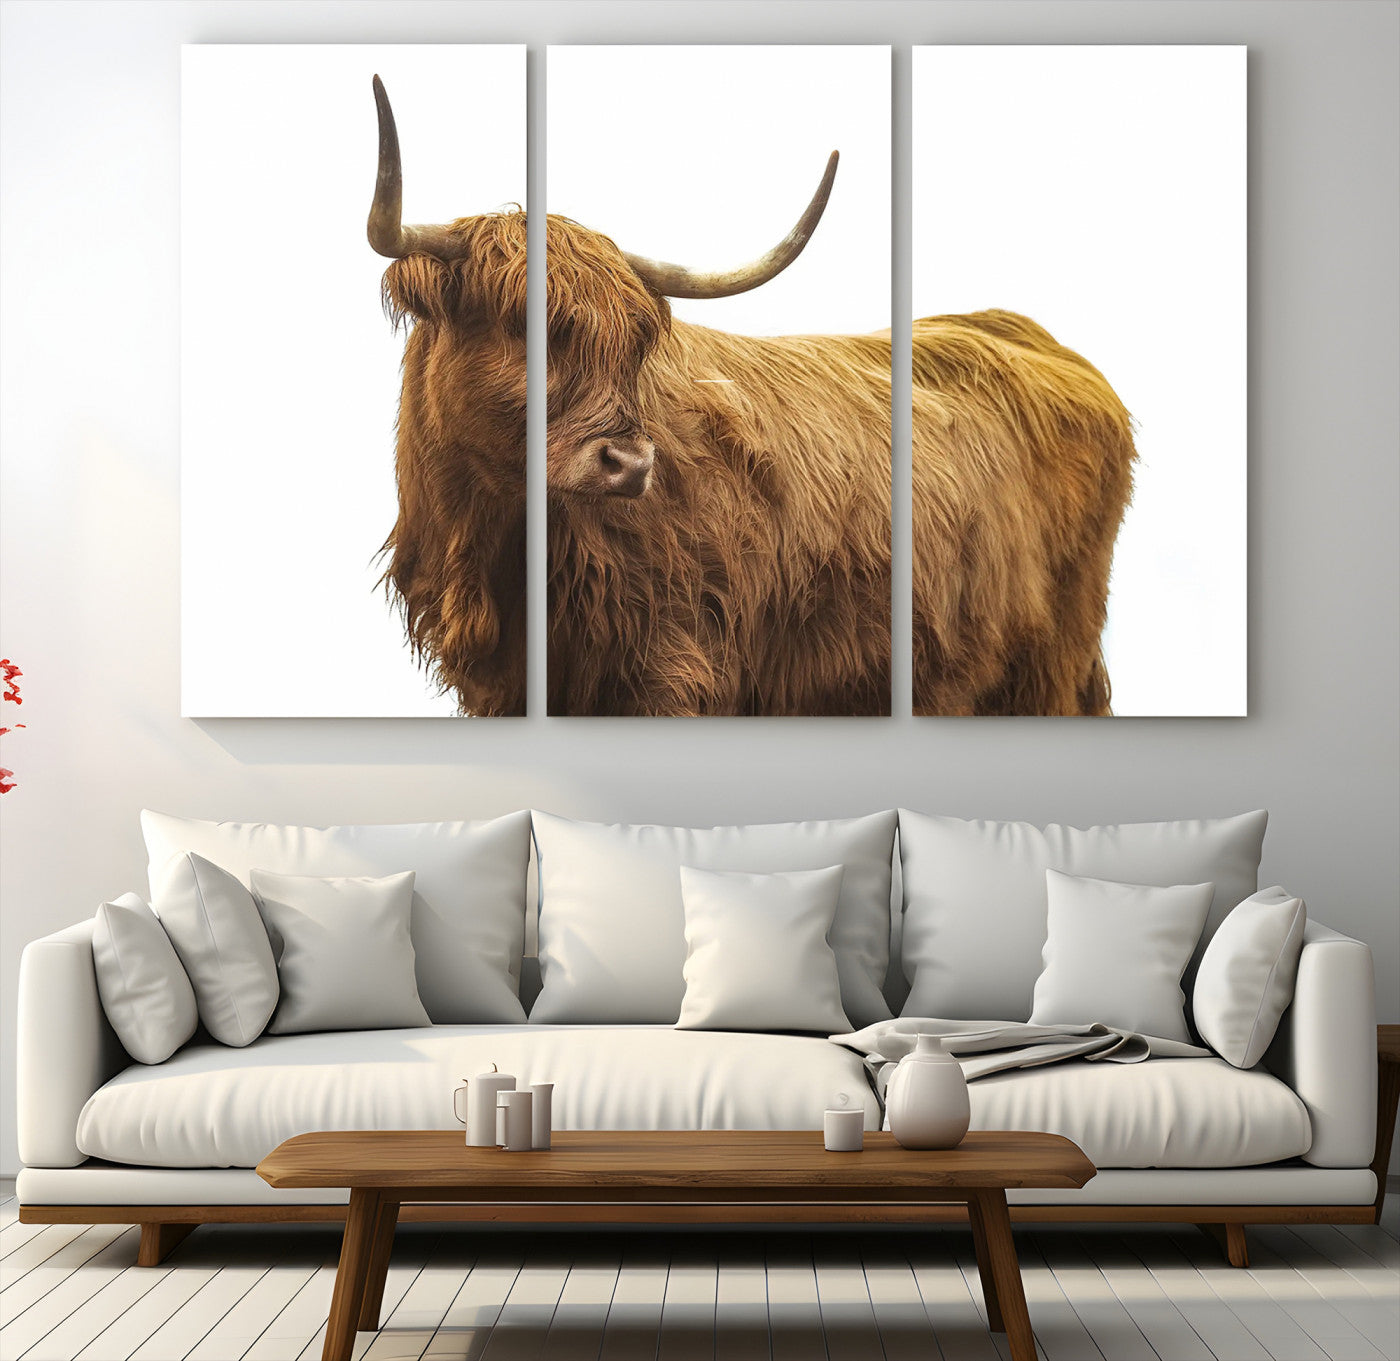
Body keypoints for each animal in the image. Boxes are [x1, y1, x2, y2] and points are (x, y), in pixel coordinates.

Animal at [368, 77, 1133, 717]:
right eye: (520, 325)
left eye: (638, 344)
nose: (631, 464)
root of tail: (1025, 334)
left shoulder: (674, 668)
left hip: (1047, 665)